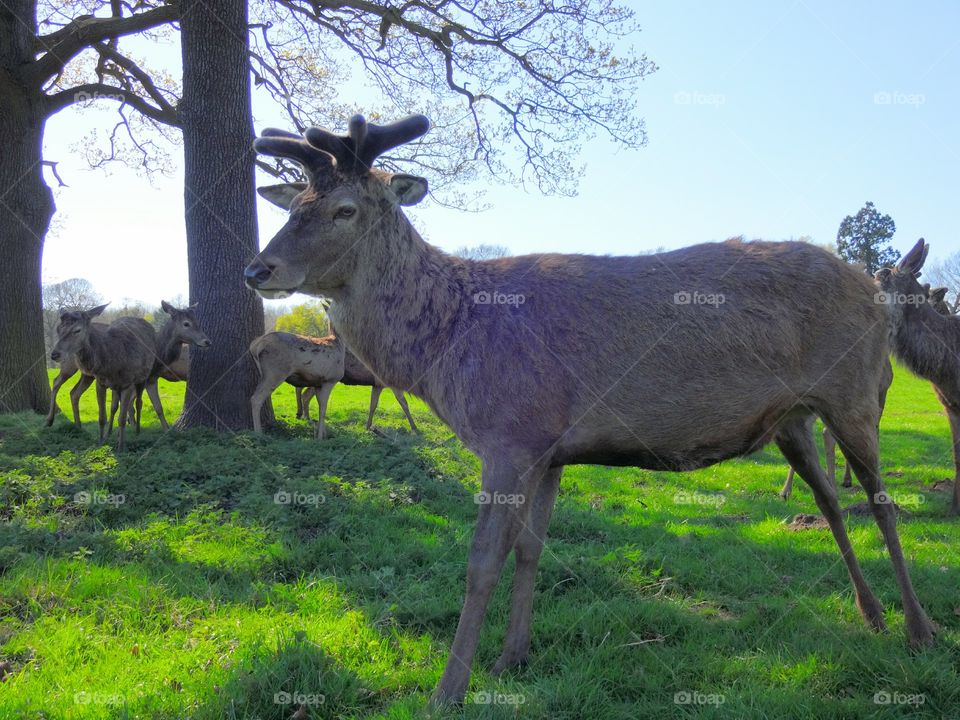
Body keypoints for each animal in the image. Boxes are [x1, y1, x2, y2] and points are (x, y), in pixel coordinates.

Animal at [49, 304, 156, 450]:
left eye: (77, 330)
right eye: (58, 329)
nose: (54, 354)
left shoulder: (128, 383)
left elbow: (122, 418)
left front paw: (121, 447)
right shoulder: (100, 382)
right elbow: (102, 417)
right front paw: (101, 442)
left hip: (141, 378)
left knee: (138, 403)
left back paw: (137, 432)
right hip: (82, 372)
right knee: (66, 387)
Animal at [242, 115, 936, 704]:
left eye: (345, 209)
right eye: (294, 206)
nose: (258, 268)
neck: (445, 351)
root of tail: (876, 291)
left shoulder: (509, 433)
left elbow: (481, 562)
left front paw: (448, 688)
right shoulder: (548, 449)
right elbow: (530, 548)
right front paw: (512, 657)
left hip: (856, 394)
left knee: (882, 501)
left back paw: (919, 628)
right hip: (795, 417)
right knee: (830, 499)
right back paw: (872, 613)